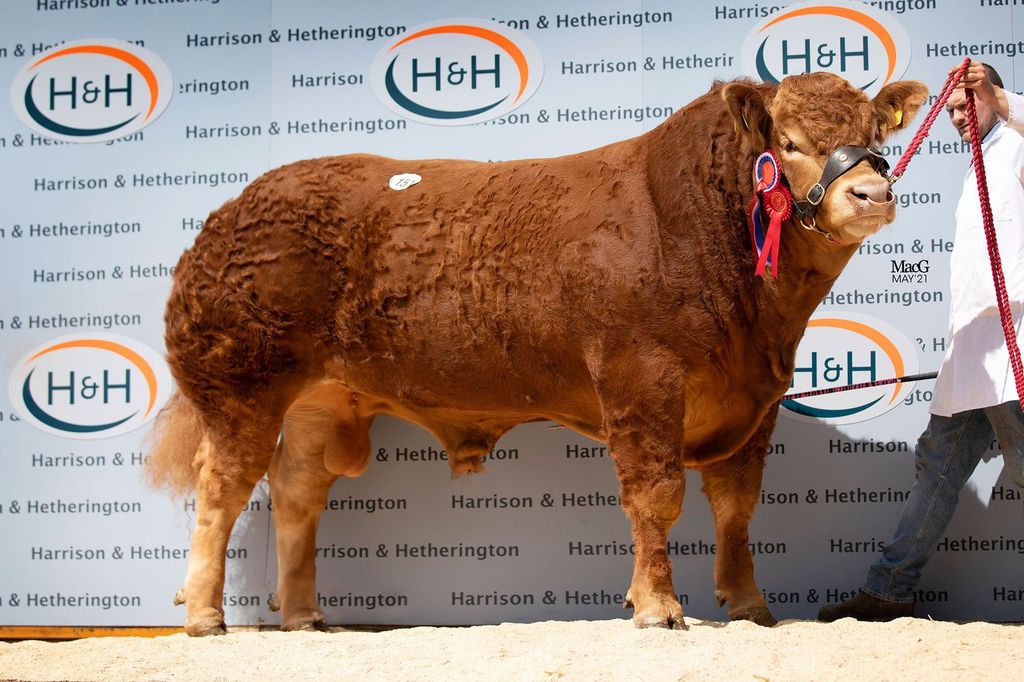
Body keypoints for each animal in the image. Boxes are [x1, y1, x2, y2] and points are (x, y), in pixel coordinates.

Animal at [147, 72, 927, 636]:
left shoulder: (756, 398)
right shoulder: (640, 378)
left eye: (872, 134)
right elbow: (656, 495)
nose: (872, 192)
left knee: (296, 492)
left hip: (321, 402)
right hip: (241, 387)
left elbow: (737, 506)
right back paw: (205, 615)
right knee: (222, 488)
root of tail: (229, 213)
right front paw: (657, 607)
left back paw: (306, 617)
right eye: (788, 143)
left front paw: (750, 606)